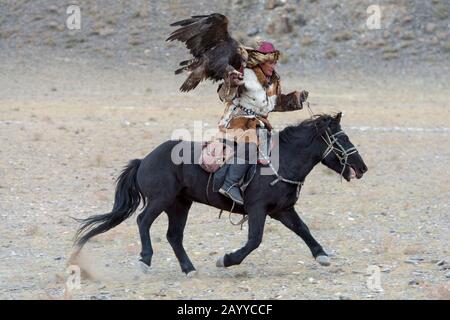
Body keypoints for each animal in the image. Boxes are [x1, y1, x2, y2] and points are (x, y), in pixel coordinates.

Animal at [75, 113, 368, 276]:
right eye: (342, 139)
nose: (362, 167)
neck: (280, 161)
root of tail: (144, 159)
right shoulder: (258, 209)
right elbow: (254, 240)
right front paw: (226, 260)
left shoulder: (282, 210)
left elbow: (303, 230)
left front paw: (322, 255)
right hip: (161, 200)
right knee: (143, 221)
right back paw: (146, 260)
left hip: (180, 205)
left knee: (174, 236)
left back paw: (189, 269)